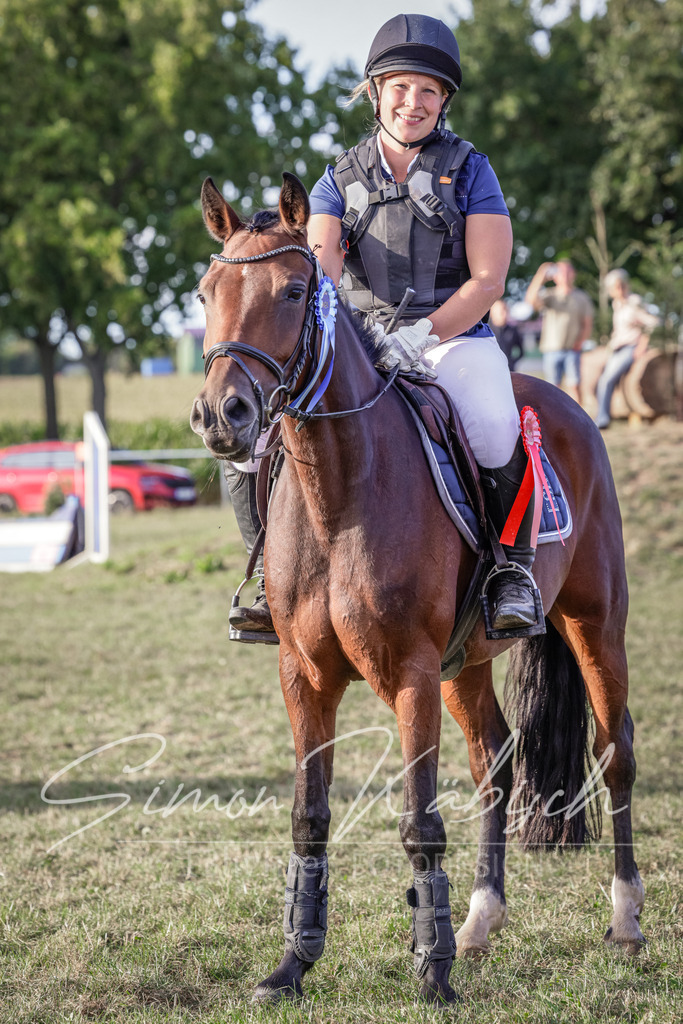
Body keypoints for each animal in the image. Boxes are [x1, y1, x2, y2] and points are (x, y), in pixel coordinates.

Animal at [190, 172, 645, 1005]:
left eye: (294, 290)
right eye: (208, 291)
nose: (220, 414)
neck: (339, 494)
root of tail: (565, 402)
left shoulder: (409, 675)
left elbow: (420, 822)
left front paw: (429, 972)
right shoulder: (303, 675)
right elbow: (308, 815)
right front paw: (293, 963)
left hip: (594, 624)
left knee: (613, 748)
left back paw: (624, 917)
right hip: (467, 664)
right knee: (497, 761)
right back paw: (478, 921)